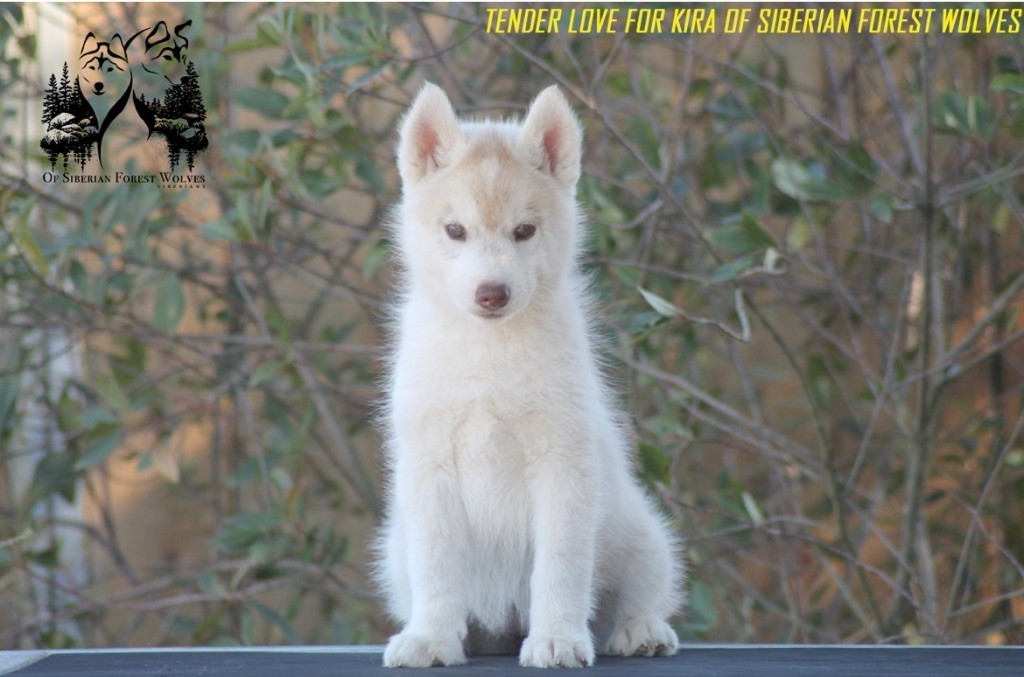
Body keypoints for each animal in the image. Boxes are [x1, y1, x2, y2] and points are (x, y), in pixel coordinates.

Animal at [378, 82, 688, 663]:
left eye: (524, 231)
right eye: (455, 230)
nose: (491, 293)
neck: (489, 355)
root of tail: (503, 624)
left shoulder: (563, 466)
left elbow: (561, 567)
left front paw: (557, 639)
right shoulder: (429, 469)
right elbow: (436, 566)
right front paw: (431, 638)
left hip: (642, 534)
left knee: (638, 592)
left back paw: (640, 631)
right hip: (393, 551)